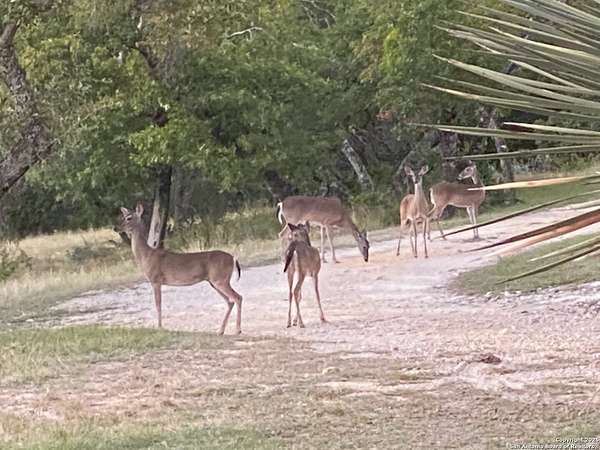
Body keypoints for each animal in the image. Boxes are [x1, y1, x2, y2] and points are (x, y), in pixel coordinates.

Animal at [118, 203, 243, 335]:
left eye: (129, 218)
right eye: (123, 216)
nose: (117, 228)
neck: (146, 256)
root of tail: (233, 259)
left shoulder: (156, 280)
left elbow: (158, 304)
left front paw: (160, 327)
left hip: (220, 280)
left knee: (238, 297)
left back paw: (237, 330)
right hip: (214, 282)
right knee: (230, 301)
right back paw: (220, 331)